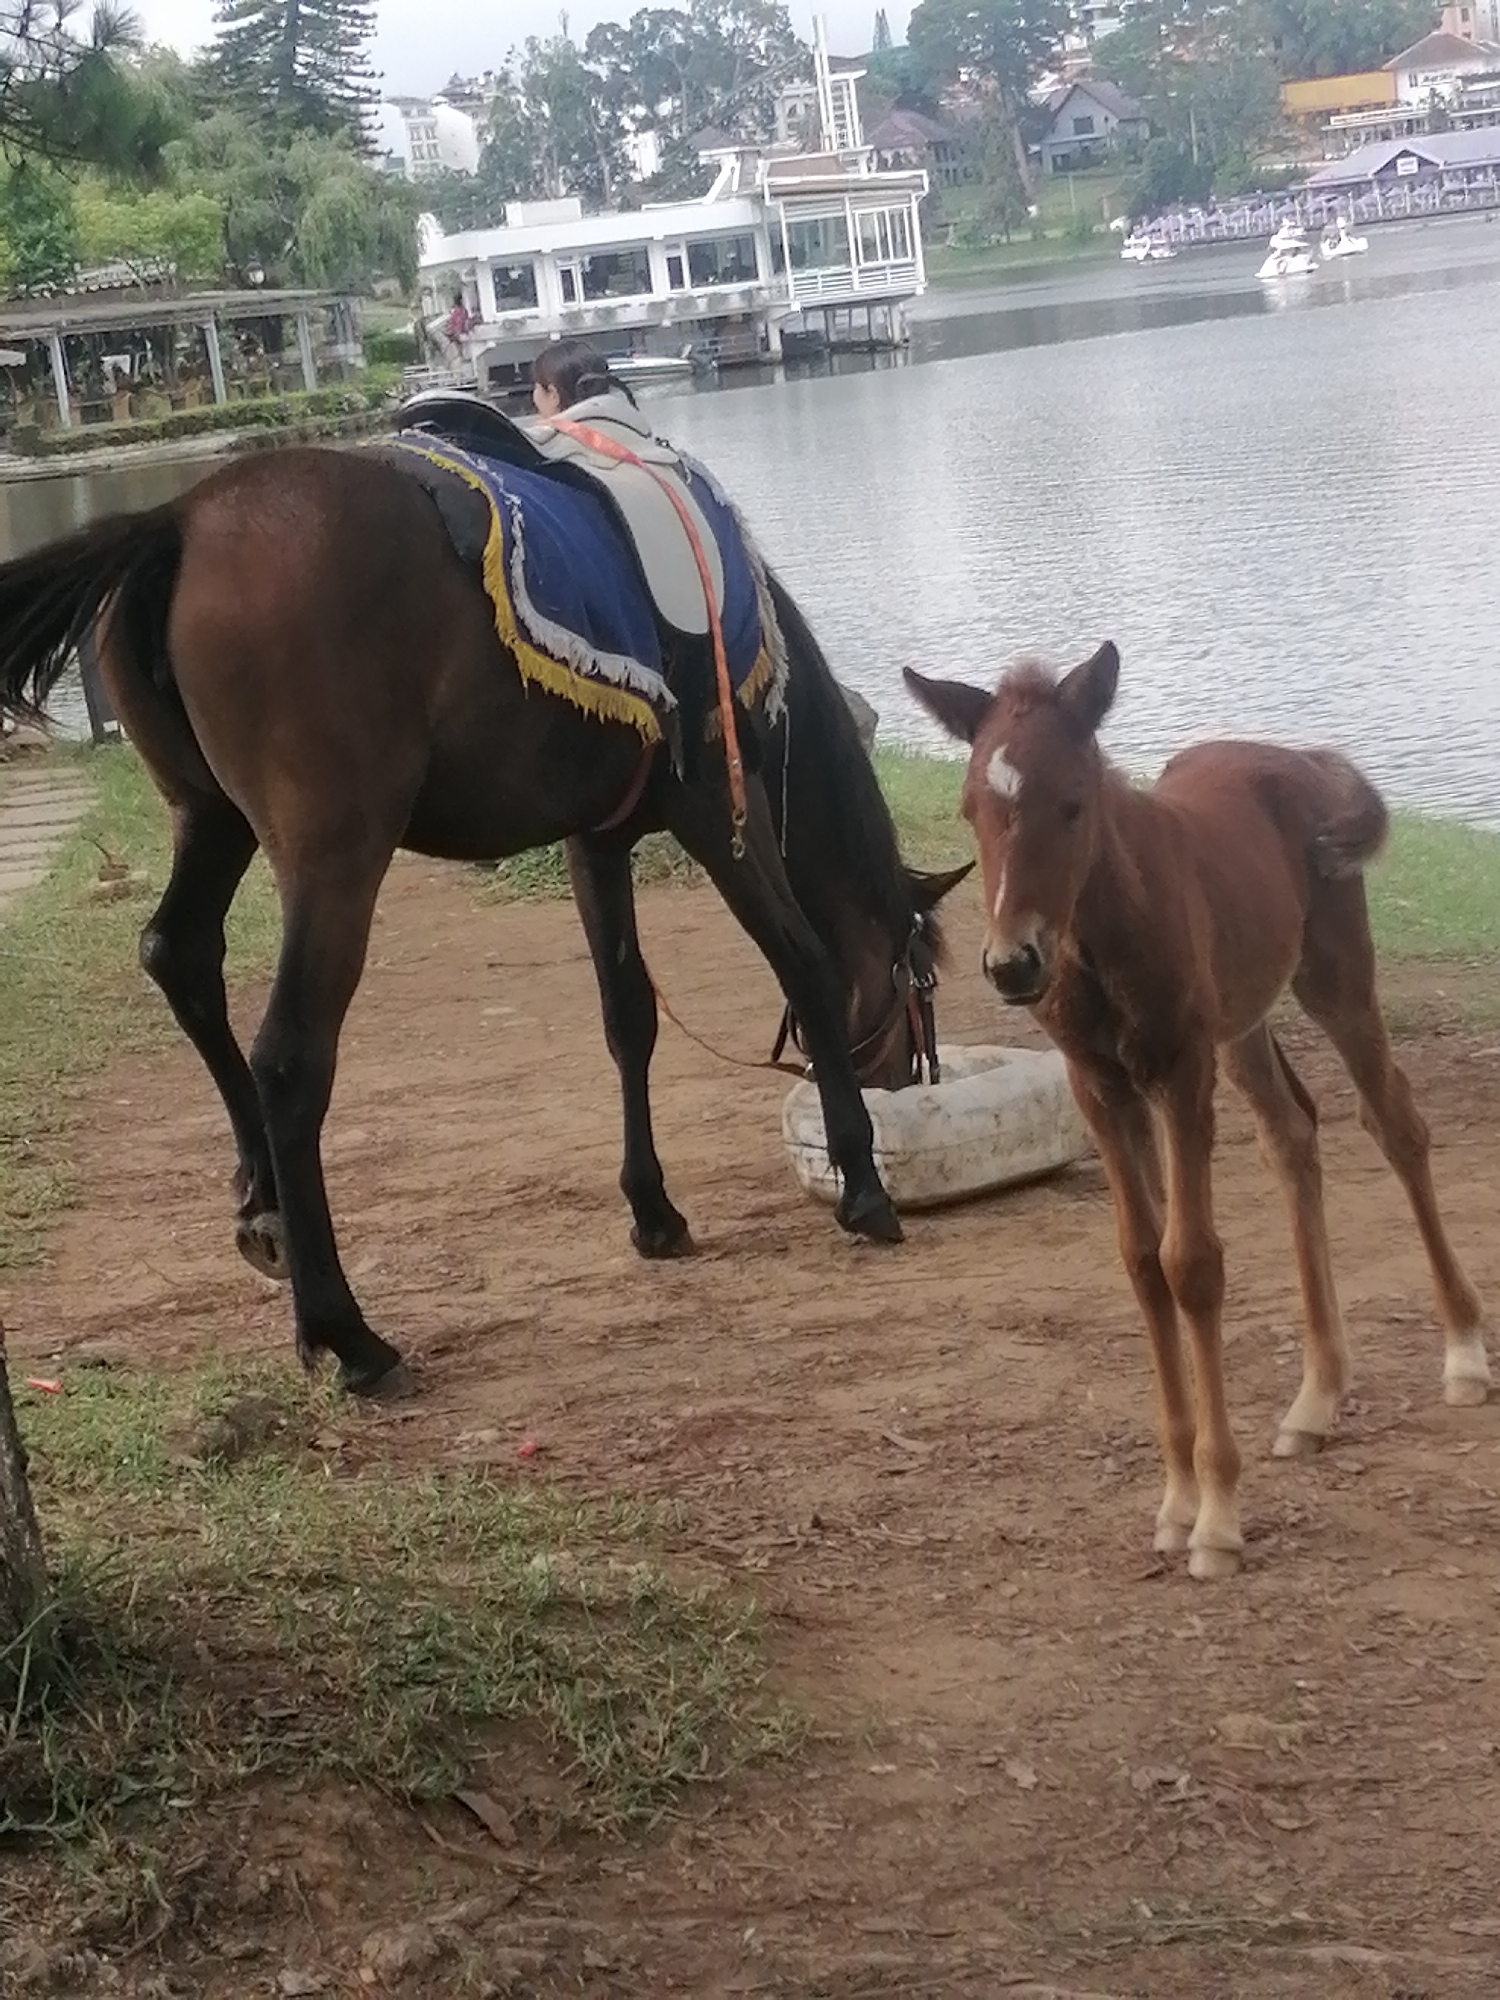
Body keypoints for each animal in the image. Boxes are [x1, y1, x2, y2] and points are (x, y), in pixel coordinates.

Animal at [0, 444, 969, 1397]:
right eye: (920, 986)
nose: (901, 1082)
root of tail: (183, 516)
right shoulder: (718, 807)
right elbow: (803, 962)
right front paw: (861, 1179)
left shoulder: (595, 839)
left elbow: (629, 1017)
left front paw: (652, 1207)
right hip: (335, 854)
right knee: (290, 1057)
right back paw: (347, 1332)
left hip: (209, 817)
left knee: (180, 956)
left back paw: (265, 1199)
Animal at [906, 641, 1489, 1580]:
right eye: (971, 808)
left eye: (1075, 802)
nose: (1012, 964)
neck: (1102, 933)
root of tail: (1303, 760)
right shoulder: (1101, 1087)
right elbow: (1143, 1263)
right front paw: (1177, 1499)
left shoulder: (1179, 1073)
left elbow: (1192, 1264)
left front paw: (1216, 1516)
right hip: (1243, 1024)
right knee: (1293, 1135)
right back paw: (1316, 1399)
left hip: (1333, 979)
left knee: (1396, 1124)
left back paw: (1464, 1353)